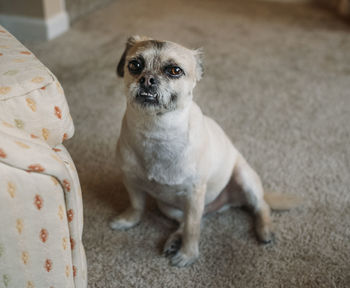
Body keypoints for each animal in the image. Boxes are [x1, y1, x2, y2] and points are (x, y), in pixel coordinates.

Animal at [110, 36, 300, 268]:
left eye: (174, 71)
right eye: (135, 65)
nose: (147, 79)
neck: (155, 129)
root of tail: (225, 203)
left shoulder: (193, 195)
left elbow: (193, 230)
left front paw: (188, 255)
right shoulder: (131, 182)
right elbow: (137, 206)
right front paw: (128, 221)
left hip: (244, 179)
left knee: (260, 206)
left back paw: (265, 230)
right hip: (170, 207)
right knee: (189, 222)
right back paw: (174, 240)